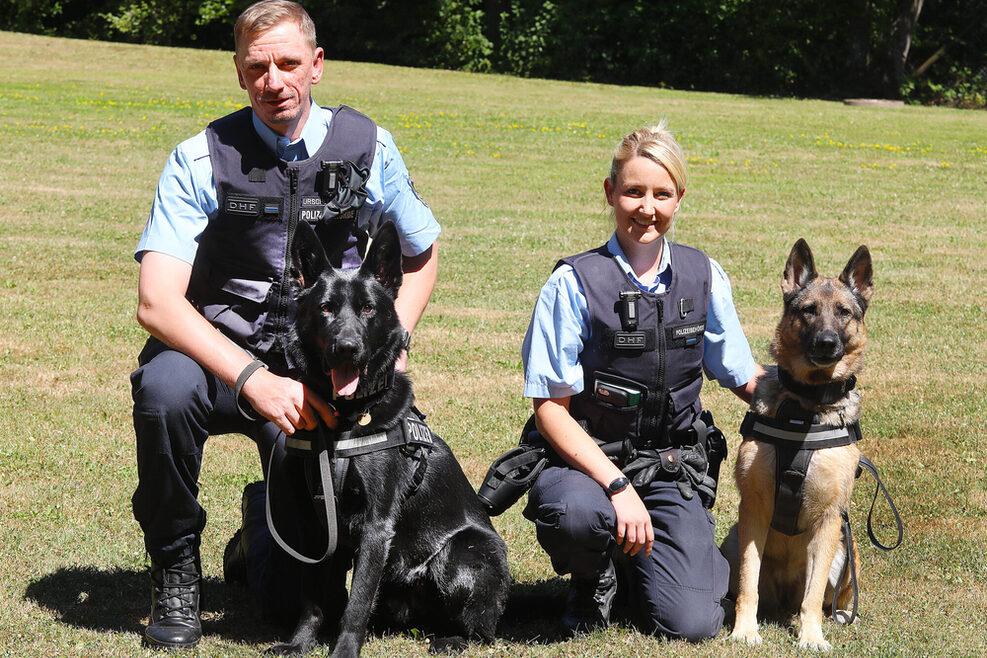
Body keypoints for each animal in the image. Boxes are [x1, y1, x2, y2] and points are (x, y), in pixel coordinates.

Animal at [260, 222, 510, 656]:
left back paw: (454, 639)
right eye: (325, 308)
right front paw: (300, 643)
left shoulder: (377, 527)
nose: (347, 349)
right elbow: (312, 600)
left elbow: (357, 603)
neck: (343, 421)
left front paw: (343, 651)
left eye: (367, 309)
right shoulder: (315, 526)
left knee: (482, 630)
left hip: (461, 554)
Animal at [724, 238, 872, 648]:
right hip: (731, 540)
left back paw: (837, 616)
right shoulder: (753, 510)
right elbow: (749, 583)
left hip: (847, 551)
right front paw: (745, 630)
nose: (826, 343)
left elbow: (814, 592)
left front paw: (811, 637)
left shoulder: (829, 519)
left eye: (843, 313)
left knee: (828, 598)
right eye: (808, 311)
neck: (805, 407)